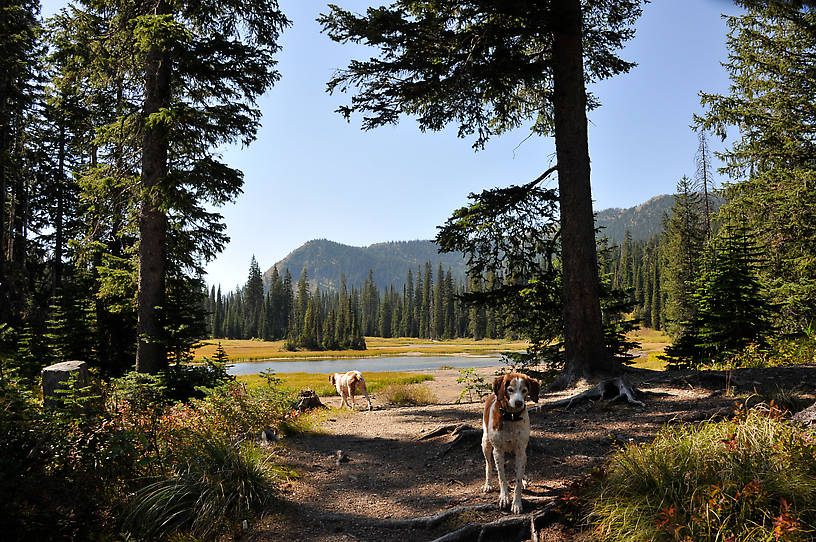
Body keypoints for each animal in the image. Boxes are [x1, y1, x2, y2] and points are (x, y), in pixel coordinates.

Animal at [482, 372, 540, 516]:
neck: (511, 418)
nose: (519, 403)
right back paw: (488, 484)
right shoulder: (498, 451)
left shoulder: (520, 451)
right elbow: (501, 477)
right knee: (488, 465)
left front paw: (517, 503)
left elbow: (517, 480)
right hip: (485, 443)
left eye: (525, 390)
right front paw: (504, 497)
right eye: (510, 390)